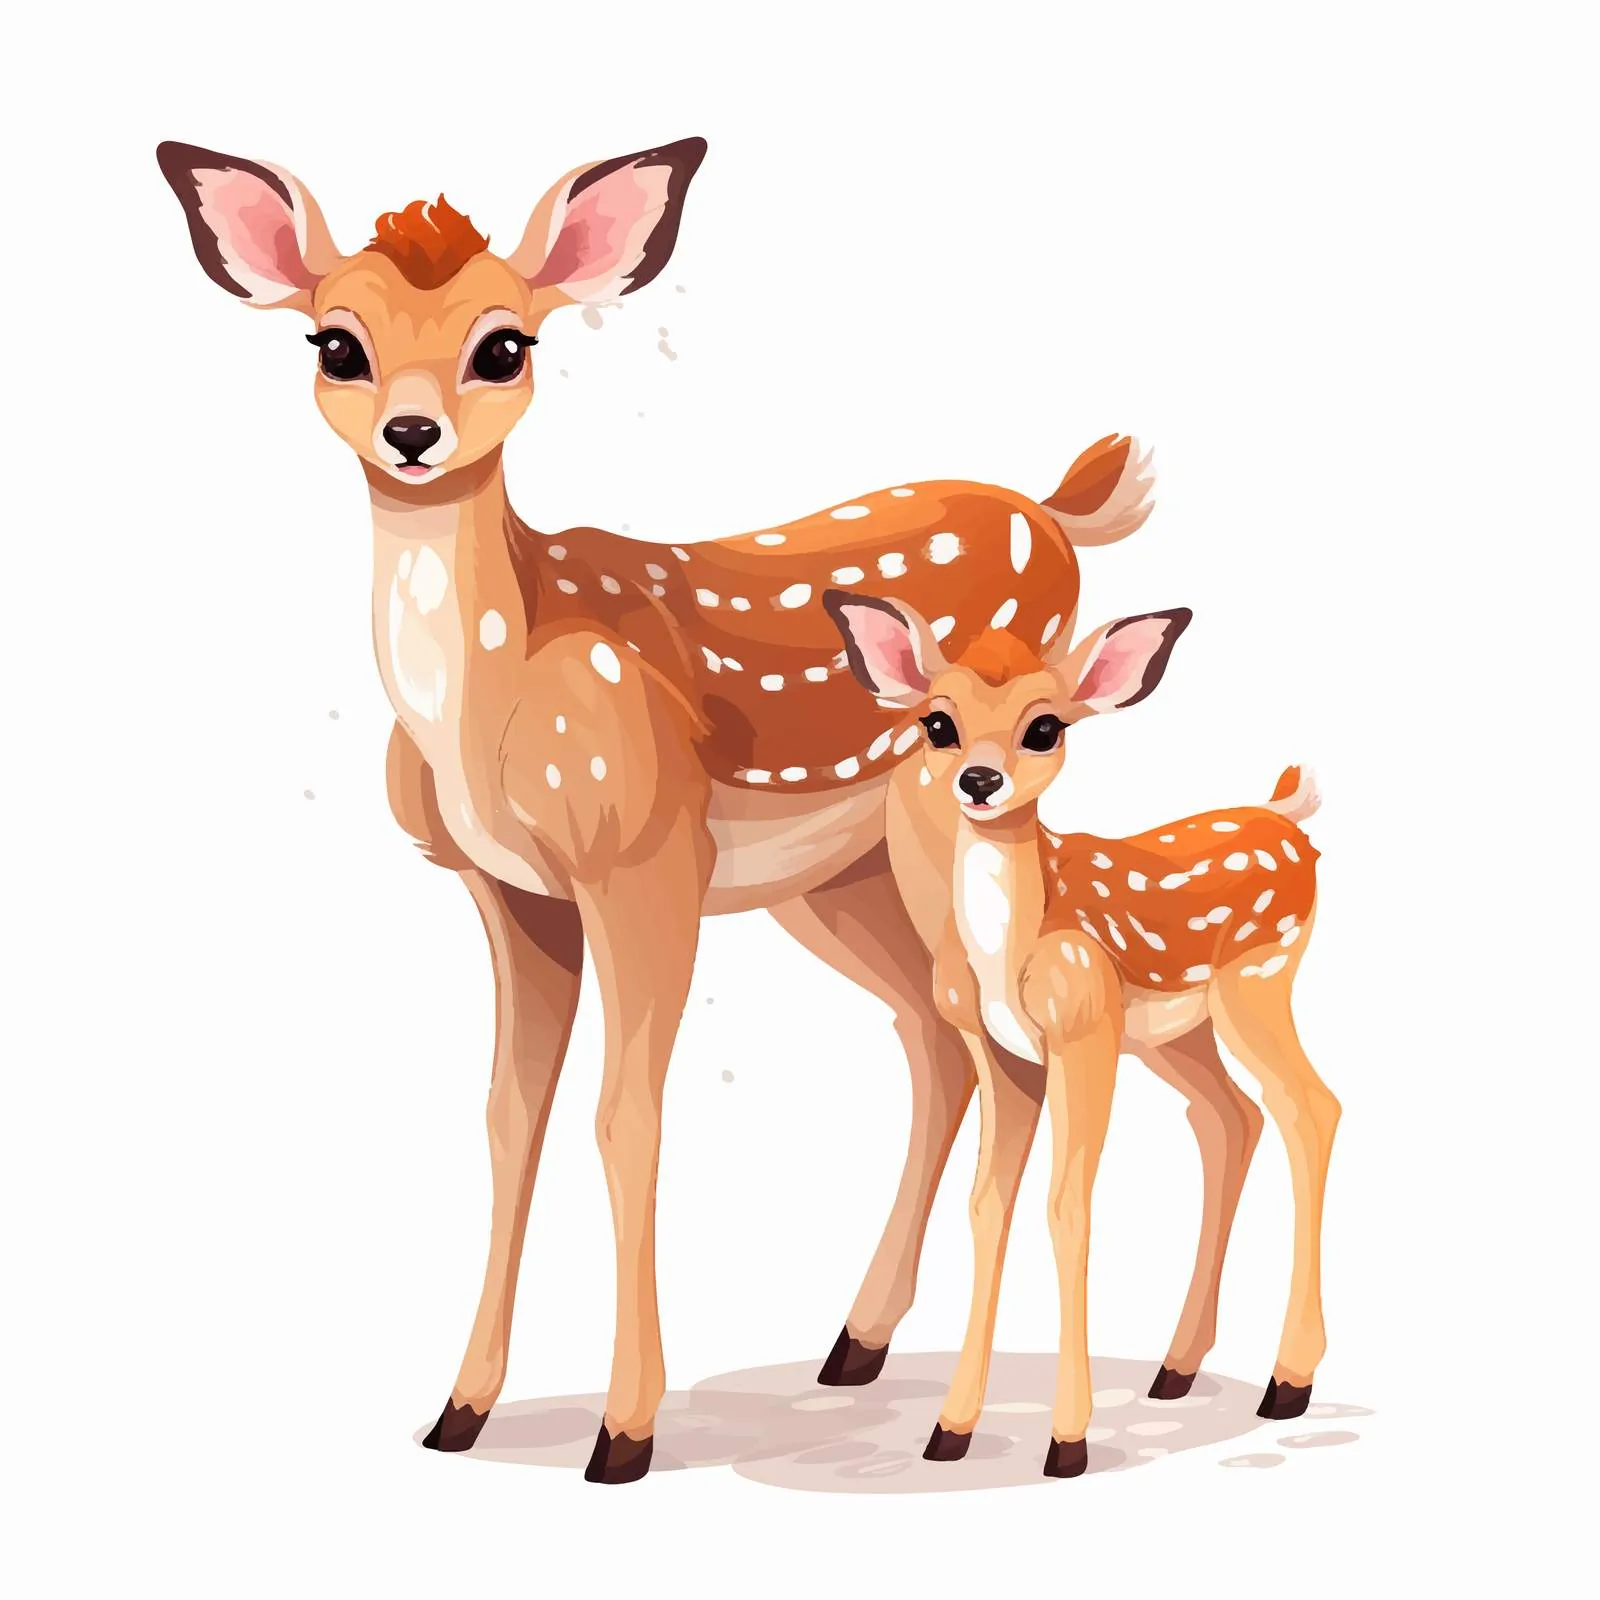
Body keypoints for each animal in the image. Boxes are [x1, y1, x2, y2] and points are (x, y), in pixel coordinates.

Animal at [155, 136, 1159, 1482]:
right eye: (335, 342)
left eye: (503, 344)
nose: (413, 432)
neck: (495, 704)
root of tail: (1051, 506)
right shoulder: (509, 889)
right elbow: (505, 1116)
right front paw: (458, 1411)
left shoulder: (642, 858)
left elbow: (625, 1117)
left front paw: (622, 1433)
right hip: (836, 880)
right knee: (933, 1039)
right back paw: (857, 1345)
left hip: (920, 839)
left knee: (959, 1036)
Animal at [824, 589, 1337, 1477]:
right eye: (937, 722)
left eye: (1045, 727)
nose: (980, 779)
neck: (1016, 948)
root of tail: (1285, 816)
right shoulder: (1002, 1055)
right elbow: (987, 1204)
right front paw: (950, 1431)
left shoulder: (1083, 1025)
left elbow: (1068, 1205)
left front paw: (1068, 1441)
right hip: (1177, 1036)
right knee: (1232, 1117)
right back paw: (1176, 1368)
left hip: (1259, 983)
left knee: (1311, 1108)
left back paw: (1288, 1382)